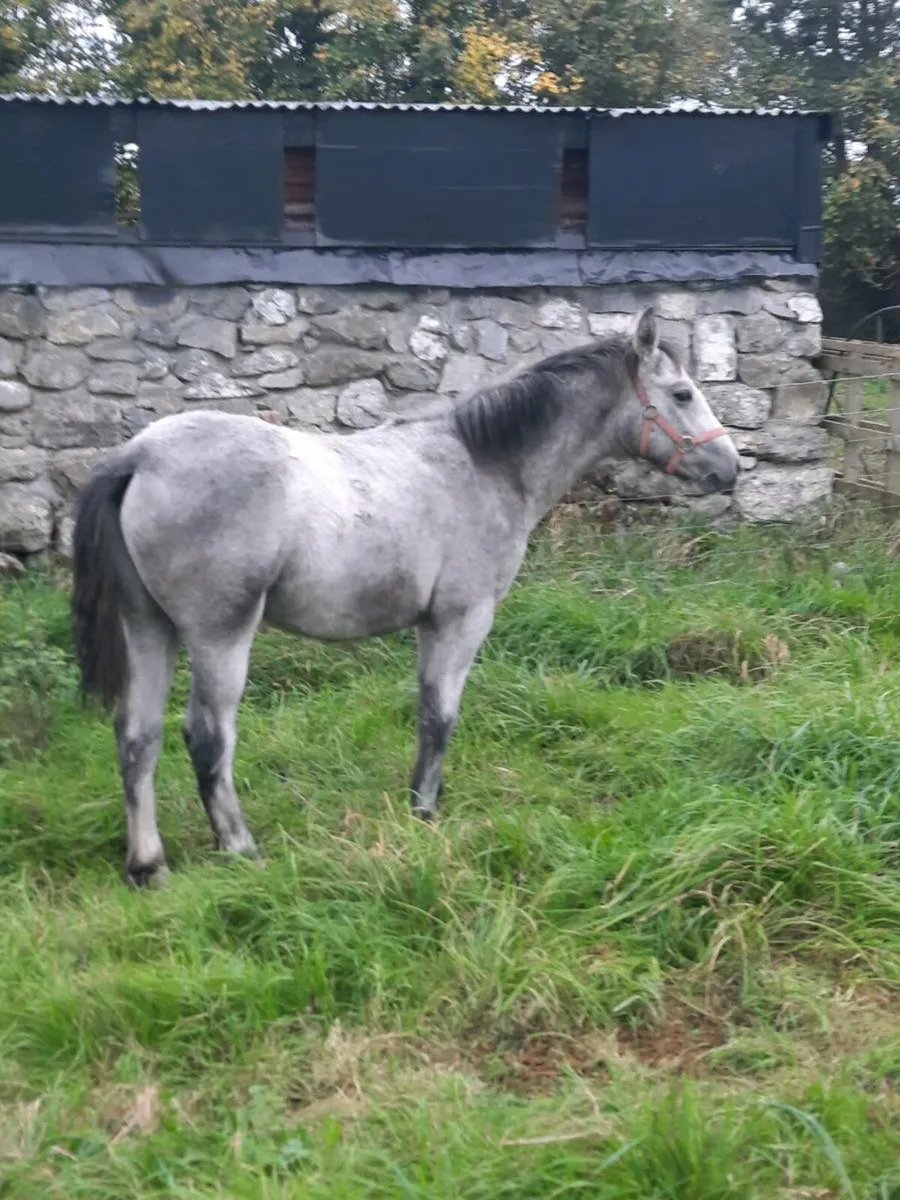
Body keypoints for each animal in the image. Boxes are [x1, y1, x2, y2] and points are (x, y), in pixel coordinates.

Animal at [71, 307, 740, 887]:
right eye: (683, 394)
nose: (730, 468)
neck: (484, 464)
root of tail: (139, 458)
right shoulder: (461, 620)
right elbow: (440, 717)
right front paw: (424, 813)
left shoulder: (429, 625)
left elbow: (425, 713)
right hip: (220, 634)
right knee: (207, 737)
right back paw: (239, 847)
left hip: (148, 627)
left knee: (137, 736)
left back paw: (148, 866)